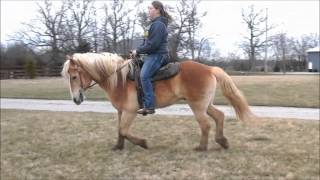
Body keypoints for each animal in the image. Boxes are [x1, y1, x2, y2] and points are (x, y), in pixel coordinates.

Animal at [60, 52, 255, 152]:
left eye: (74, 76)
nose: (76, 99)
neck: (119, 80)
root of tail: (209, 69)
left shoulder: (130, 112)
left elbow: (124, 130)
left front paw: (143, 143)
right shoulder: (121, 111)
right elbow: (120, 131)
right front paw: (118, 146)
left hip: (198, 106)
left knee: (205, 125)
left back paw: (202, 147)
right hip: (205, 105)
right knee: (219, 116)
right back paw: (222, 141)